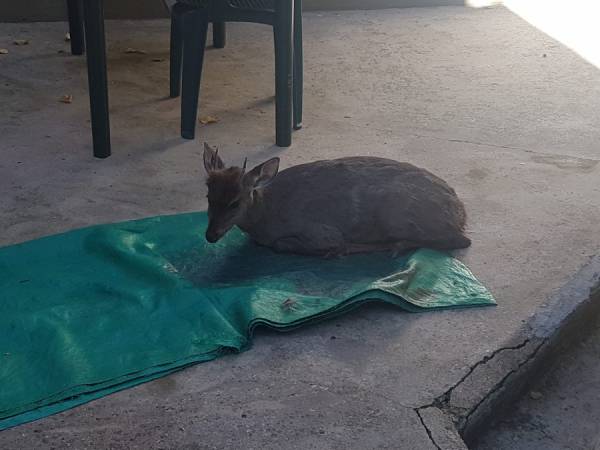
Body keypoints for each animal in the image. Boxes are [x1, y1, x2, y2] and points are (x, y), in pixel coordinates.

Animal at [204, 144, 472, 256]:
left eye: (235, 202)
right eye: (208, 196)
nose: (210, 235)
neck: (266, 216)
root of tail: (460, 212)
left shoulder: (320, 230)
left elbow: (282, 245)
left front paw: (334, 249)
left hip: (396, 215)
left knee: (460, 240)